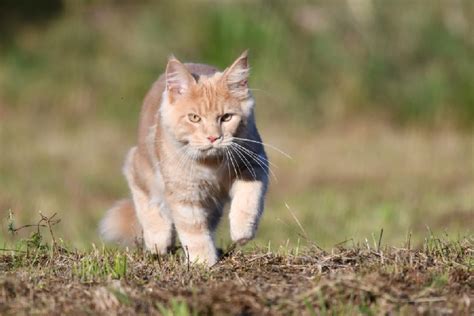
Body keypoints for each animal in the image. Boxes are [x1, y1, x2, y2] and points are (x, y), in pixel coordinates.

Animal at [100, 50, 268, 266]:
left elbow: (248, 199)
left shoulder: (255, 164)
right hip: (142, 166)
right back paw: (158, 239)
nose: (213, 137)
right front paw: (203, 261)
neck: (211, 163)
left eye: (226, 117)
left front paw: (242, 231)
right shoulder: (184, 191)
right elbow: (193, 229)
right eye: (194, 118)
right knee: (143, 193)